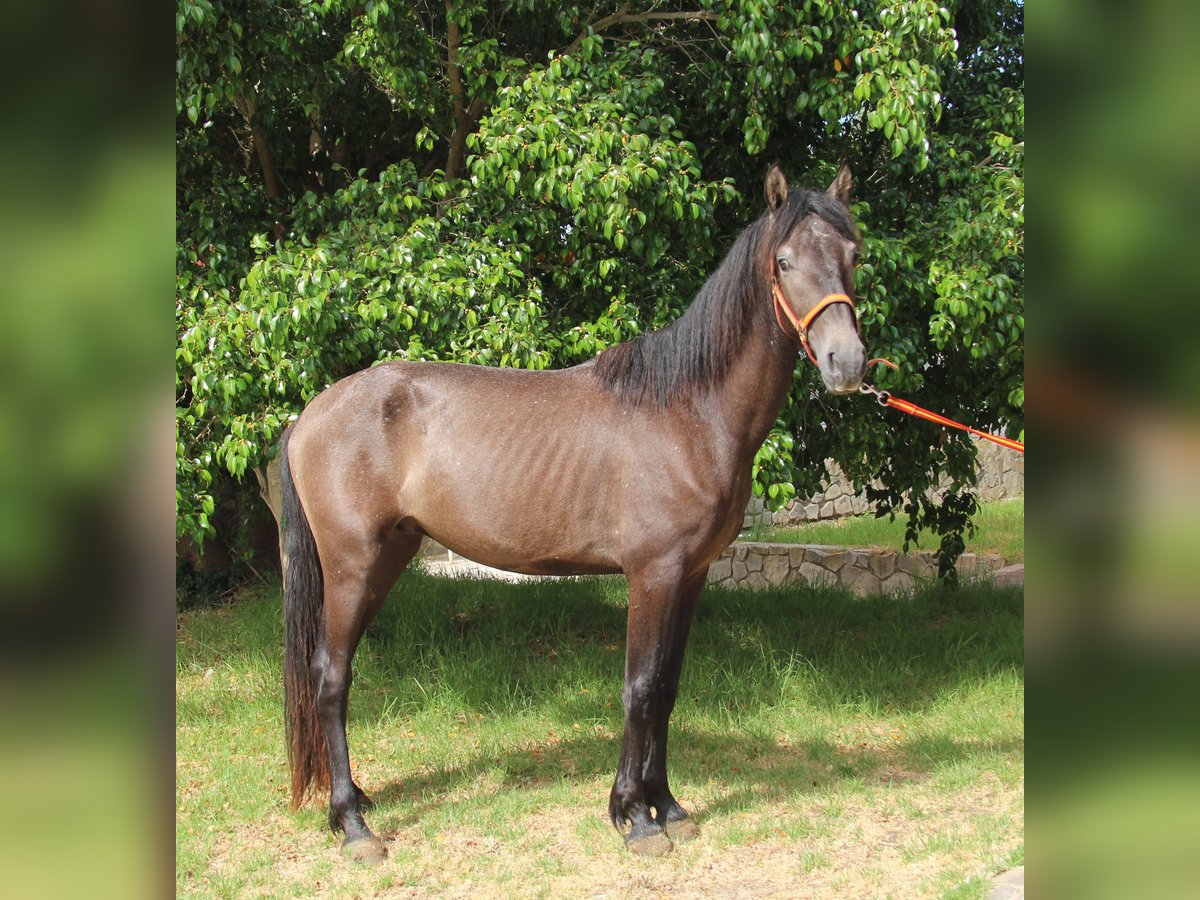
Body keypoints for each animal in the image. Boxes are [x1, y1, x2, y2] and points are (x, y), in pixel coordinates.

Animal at [277, 165, 868, 864]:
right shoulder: (653, 574)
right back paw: (352, 824)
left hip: (388, 558)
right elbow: (640, 689)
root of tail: (309, 415)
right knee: (331, 676)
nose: (846, 362)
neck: (689, 411)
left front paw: (669, 807)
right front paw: (633, 816)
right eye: (784, 261)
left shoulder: (691, 576)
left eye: (853, 254)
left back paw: (359, 803)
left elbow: (667, 689)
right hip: (350, 565)